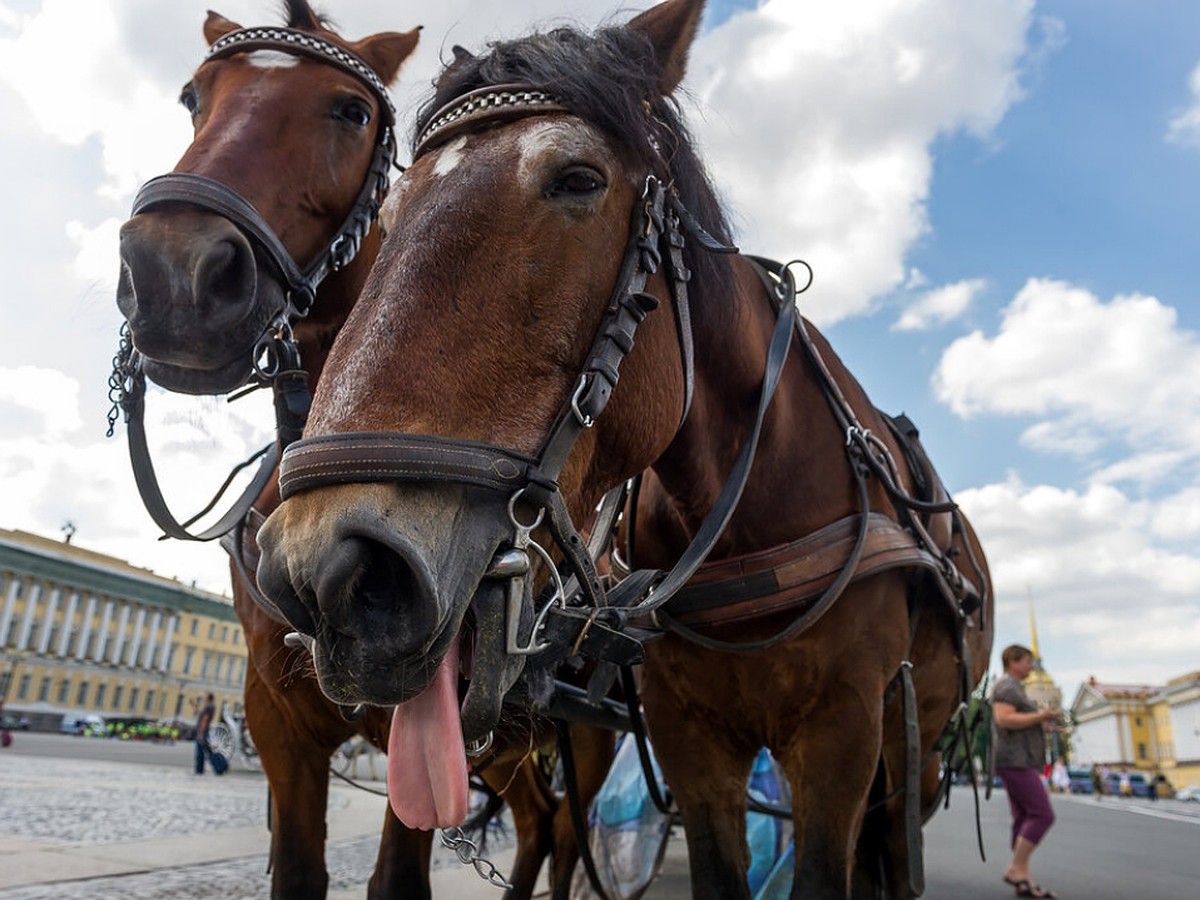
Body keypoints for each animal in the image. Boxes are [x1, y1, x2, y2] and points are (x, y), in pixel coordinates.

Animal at [260, 1, 993, 900]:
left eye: (578, 180)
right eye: (388, 217)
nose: (324, 567)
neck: (757, 517)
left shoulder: (845, 736)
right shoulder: (690, 743)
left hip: (915, 758)